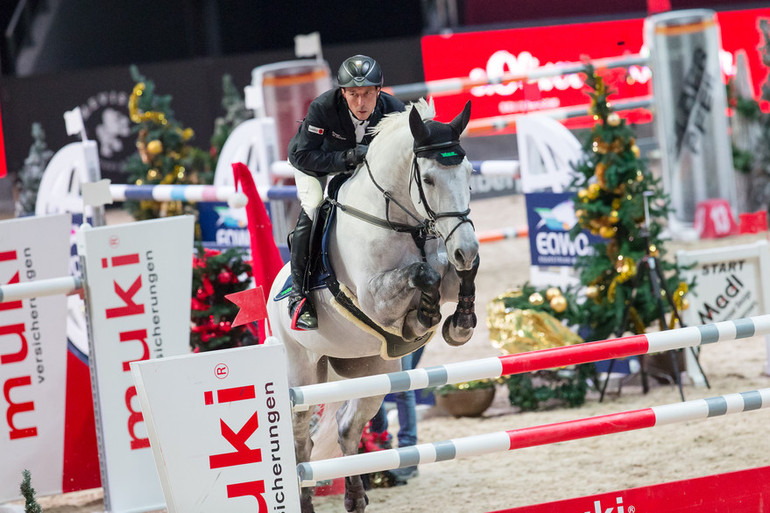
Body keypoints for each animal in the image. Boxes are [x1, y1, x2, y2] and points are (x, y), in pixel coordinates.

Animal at [268, 99, 476, 512]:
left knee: (347, 429)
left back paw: (355, 497)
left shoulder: (448, 267)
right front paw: (421, 319)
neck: (400, 221)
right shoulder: (373, 297)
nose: (467, 247)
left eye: (469, 173)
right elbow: (422, 274)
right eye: (429, 180)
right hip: (301, 374)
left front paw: (459, 322)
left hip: (374, 371)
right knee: (300, 440)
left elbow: (455, 273)